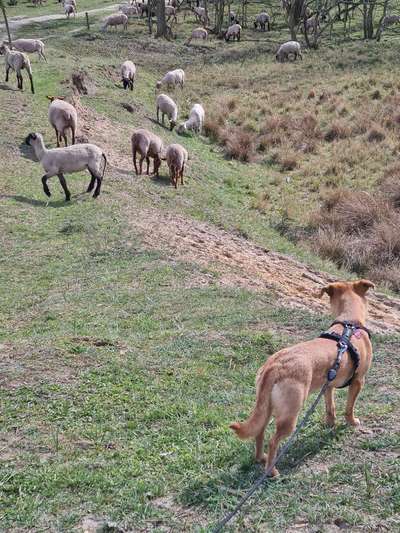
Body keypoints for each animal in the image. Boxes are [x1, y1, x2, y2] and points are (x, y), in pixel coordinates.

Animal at [230, 280, 374, 476]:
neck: (350, 322)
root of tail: (275, 366)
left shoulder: (328, 385)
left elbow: (330, 407)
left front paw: (330, 424)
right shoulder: (359, 381)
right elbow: (349, 408)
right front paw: (351, 422)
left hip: (266, 407)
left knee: (259, 432)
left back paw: (261, 458)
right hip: (290, 415)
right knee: (273, 440)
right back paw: (272, 471)